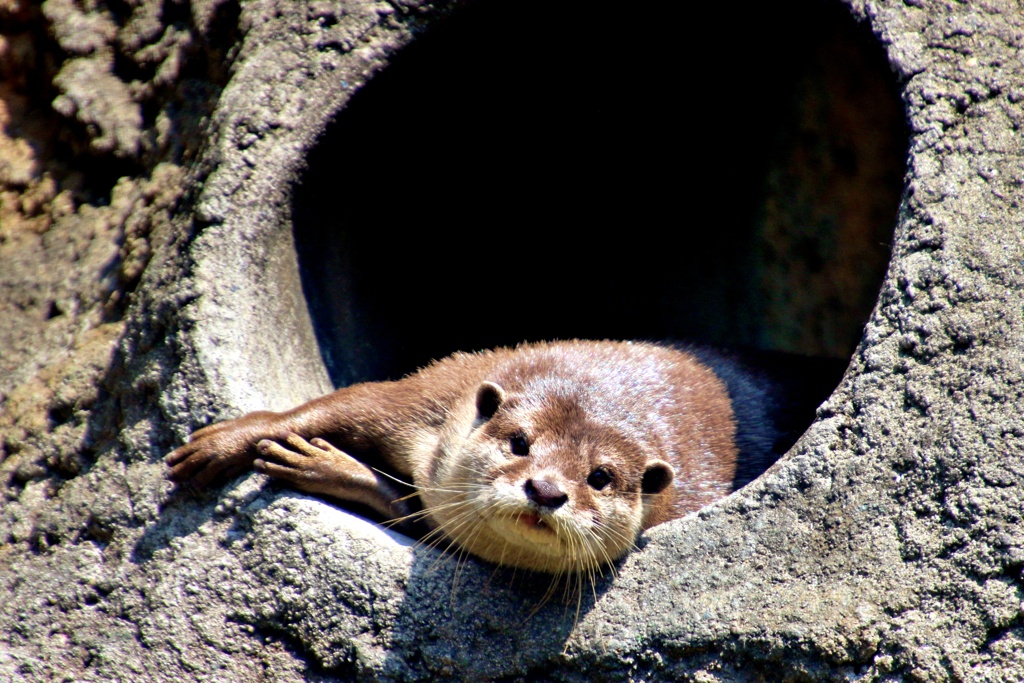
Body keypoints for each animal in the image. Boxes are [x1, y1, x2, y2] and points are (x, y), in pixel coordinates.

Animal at [167, 339, 823, 573]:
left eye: (601, 477)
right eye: (519, 442)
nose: (547, 490)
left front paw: (325, 467)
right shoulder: (439, 393)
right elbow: (345, 404)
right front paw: (220, 444)